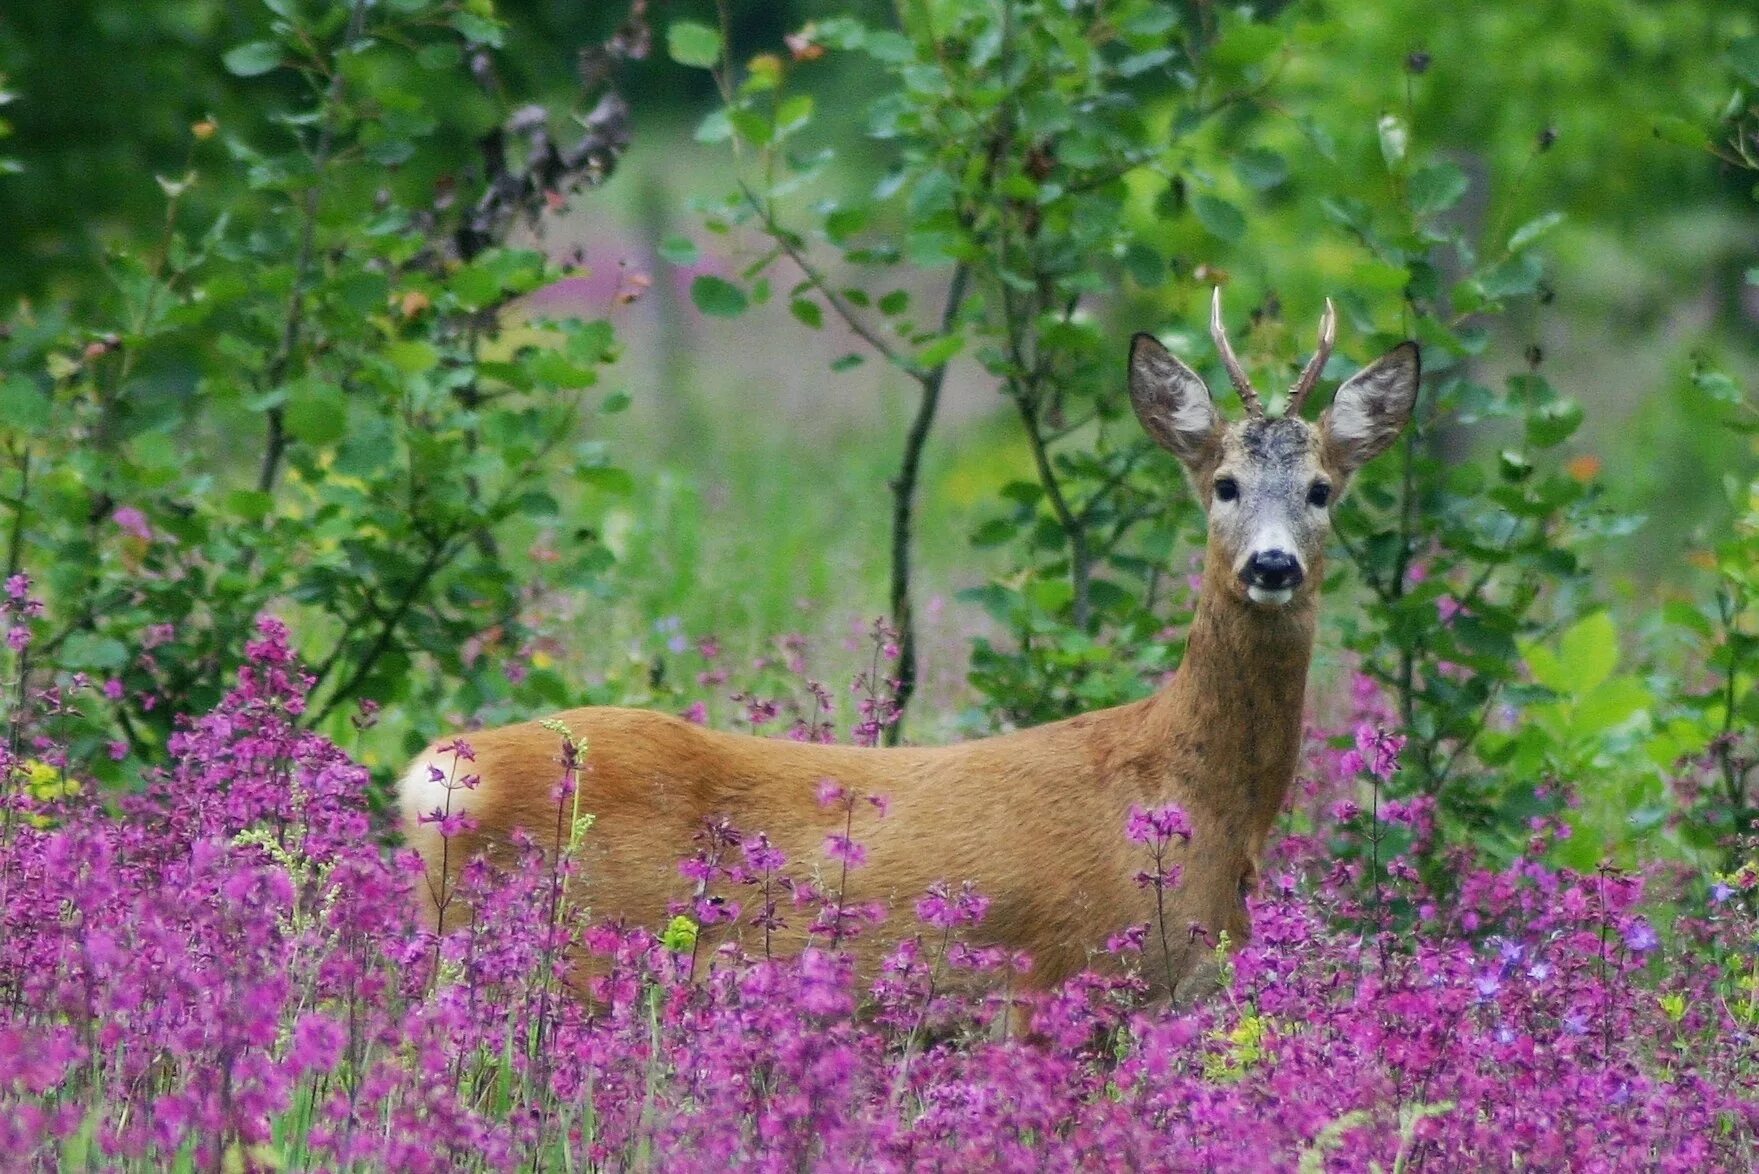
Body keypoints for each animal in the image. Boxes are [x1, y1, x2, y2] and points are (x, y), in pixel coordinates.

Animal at [399, 293, 1414, 999]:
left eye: (1321, 489)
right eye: (1224, 484)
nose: (1273, 565)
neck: (1190, 795)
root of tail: (433, 777)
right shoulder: (1062, 976)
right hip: (572, 951)